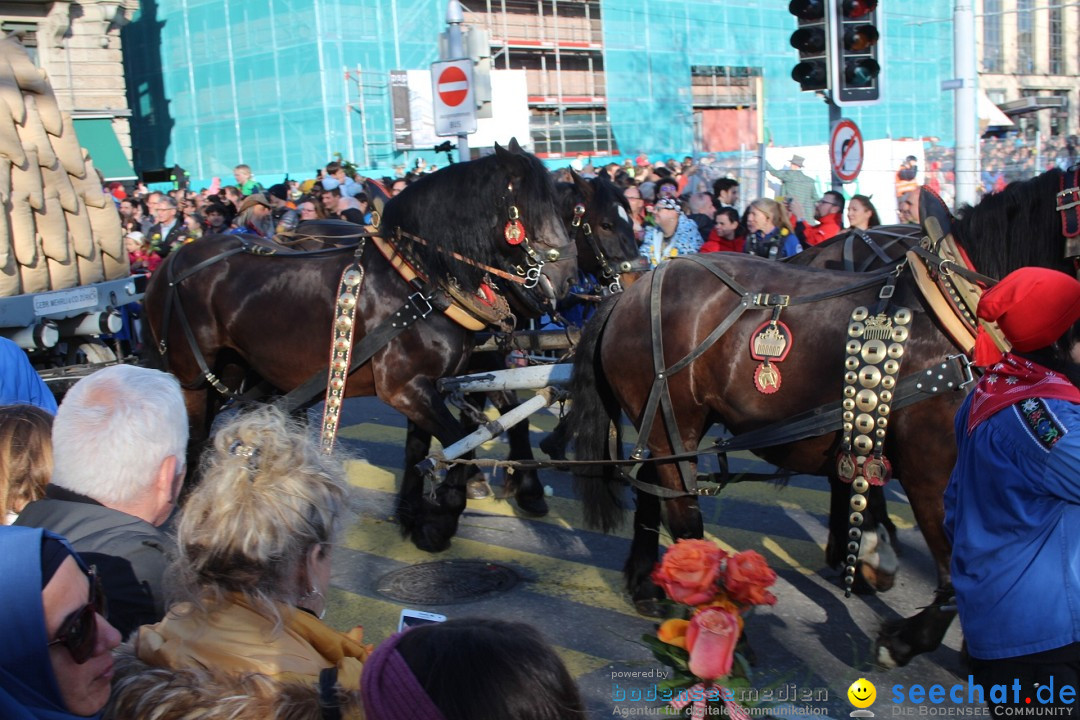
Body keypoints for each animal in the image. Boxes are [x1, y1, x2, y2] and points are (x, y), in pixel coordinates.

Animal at [149, 140, 583, 548]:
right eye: (526, 210)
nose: (566, 278)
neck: (418, 283)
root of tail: (172, 261)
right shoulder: (403, 388)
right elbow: (460, 447)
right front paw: (446, 512)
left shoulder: (428, 386)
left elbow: (423, 449)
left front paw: (416, 518)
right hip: (192, 377)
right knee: (196, 440)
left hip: (239, 369)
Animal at [565, 170, 1080, 669]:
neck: (959, 313)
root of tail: (634, 289)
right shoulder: (932, 472)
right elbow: (958, 568)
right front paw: (905, 639)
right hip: (672, 424)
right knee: (684, 516)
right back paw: (724, 629)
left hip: (660, 428)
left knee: (652, 494)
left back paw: (647, 584)